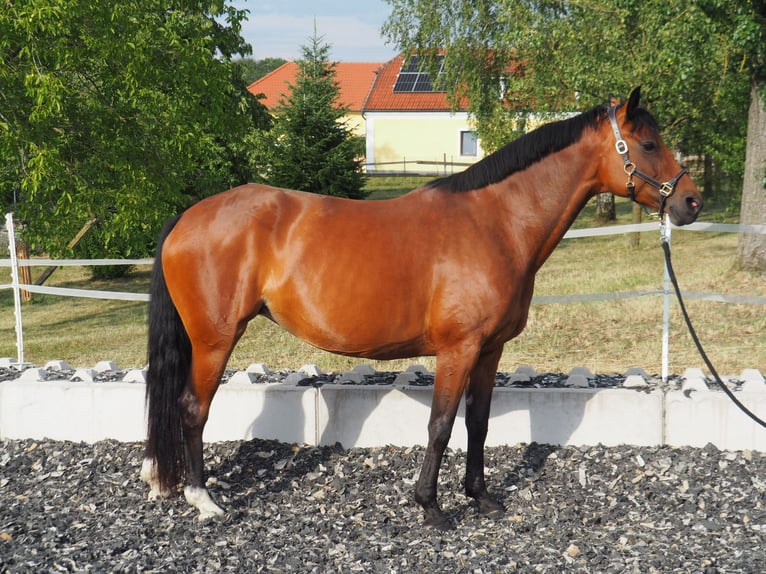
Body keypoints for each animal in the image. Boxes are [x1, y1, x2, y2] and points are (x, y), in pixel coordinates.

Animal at [140, 87, 702, 529]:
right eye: (649, 144)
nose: (691, 202)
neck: (495, 223)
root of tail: (187, 216)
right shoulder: (458, 349)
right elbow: (441, 425)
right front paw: (430, 507)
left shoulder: (490, 351)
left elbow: (478, 422)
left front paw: (481, 498)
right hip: (214, 339)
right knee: (193, 408)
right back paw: (203, 499)